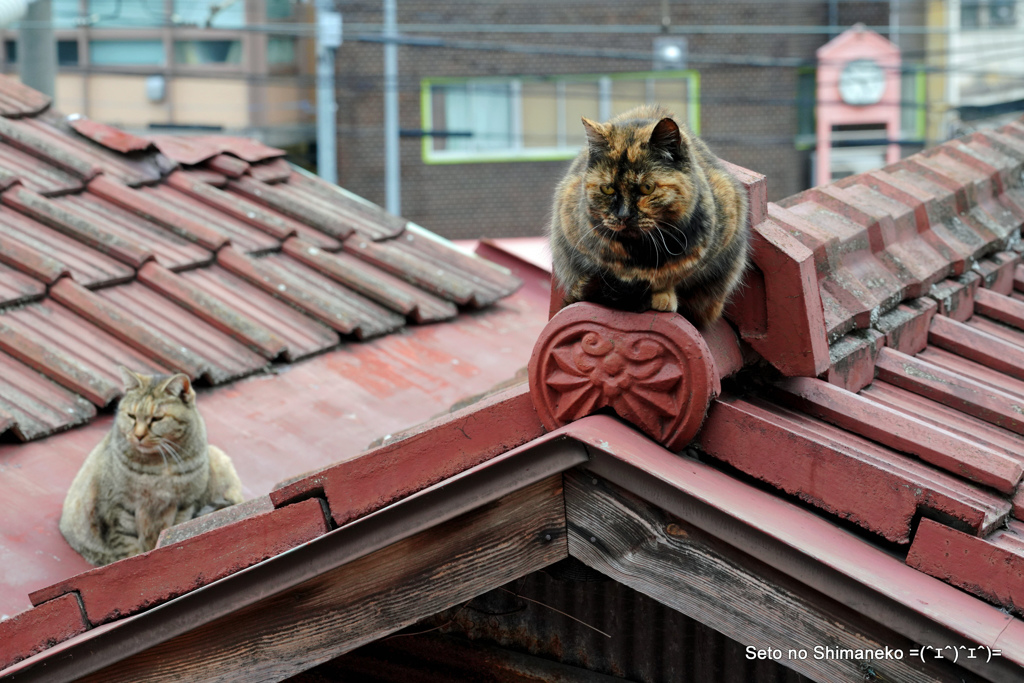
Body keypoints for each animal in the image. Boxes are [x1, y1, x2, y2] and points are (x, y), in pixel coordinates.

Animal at [60, 368, 243, 565]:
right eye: (131, 416)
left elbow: (174, 534)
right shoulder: (118, 508)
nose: (138, 435)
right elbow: (129, 549)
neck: (158, 467)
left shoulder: (184, 505)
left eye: (157, 419)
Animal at [548, 104, 749, 327]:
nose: (624, 215)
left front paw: (663, 295)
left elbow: (673, 276)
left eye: (647, 188)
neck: (641, 253)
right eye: (607, 189)